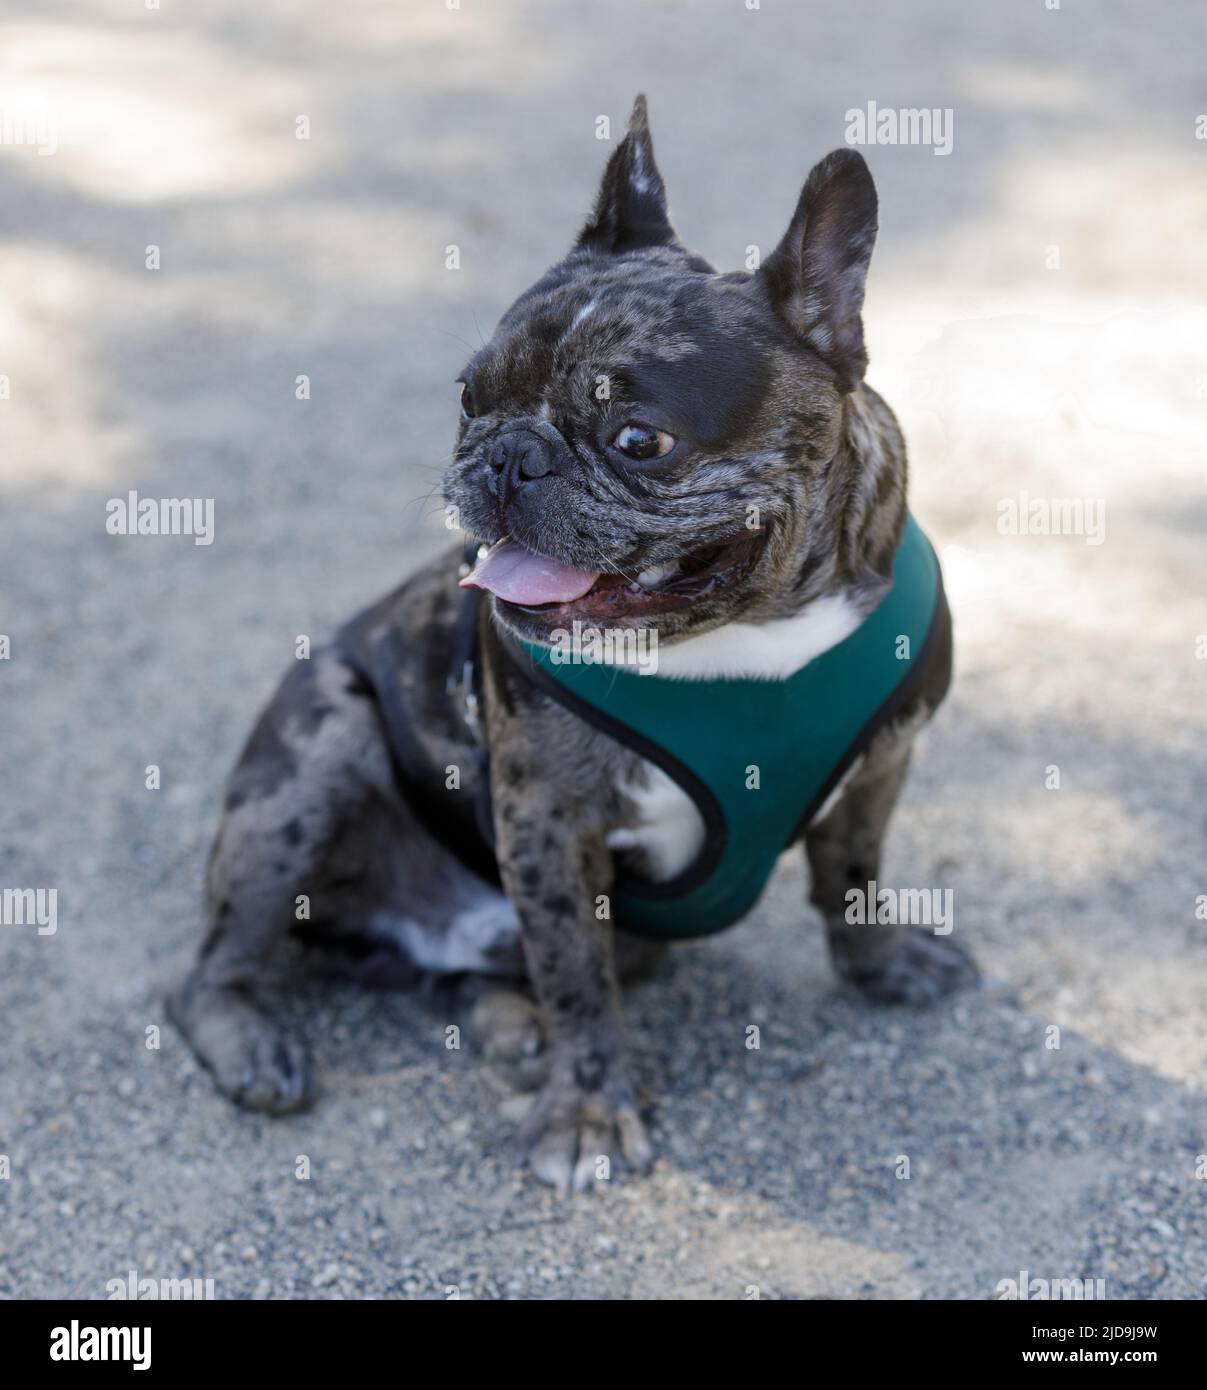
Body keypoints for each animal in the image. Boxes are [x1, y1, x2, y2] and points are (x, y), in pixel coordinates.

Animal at [167, 97, 978, 1195]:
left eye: (639, 440)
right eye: (468, 398)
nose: (507, 456)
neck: (745, 639)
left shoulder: (882, 764)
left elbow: (851, 877)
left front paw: (882, 964)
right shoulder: (547, 821)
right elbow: (576, 976)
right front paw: (588, 1112)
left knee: (465, 975)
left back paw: (502, 1022)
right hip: (313, 758)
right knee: (215, 969)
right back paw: (257, 1040)